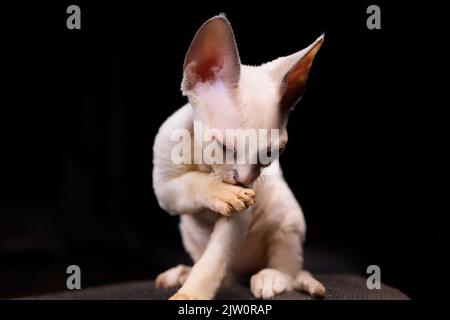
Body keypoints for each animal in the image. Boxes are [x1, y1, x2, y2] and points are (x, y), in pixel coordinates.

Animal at [153, 14, 326, 300]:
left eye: (271, 154)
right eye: (224, 146)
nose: (243, 180)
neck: (204, 163)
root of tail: (242, 274)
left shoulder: (243, 211)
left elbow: (215, 260)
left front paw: (191, 295)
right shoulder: (164, 188)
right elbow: (188, 184)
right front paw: (219, 191)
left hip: (288, 221)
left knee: (289, 270)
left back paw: (270, 277)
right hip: (189, 234)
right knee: (224, 275)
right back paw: (182, 273)